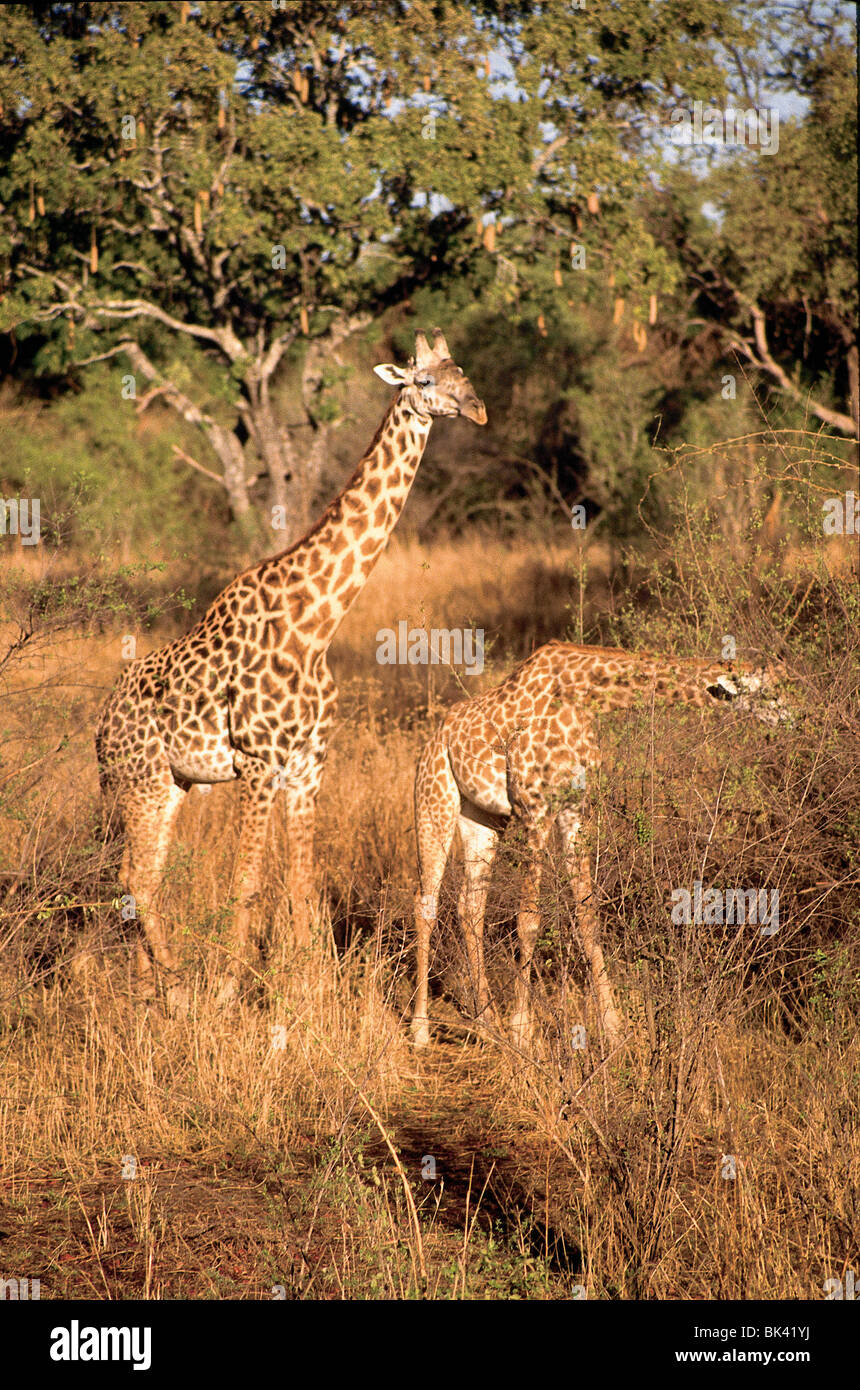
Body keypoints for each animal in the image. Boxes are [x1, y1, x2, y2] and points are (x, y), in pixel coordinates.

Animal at [97, 325, 489, 1000]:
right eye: (424, 380)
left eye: (462, 370)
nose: (477, 408)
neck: (316, 623)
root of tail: (97, 731)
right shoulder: (258, 763)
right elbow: (247, 880)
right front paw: (230, 992)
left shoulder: (308, 763)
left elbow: (304, 882)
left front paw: (313, 991)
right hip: (140, 780)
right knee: (139, 878)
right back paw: (176, 985)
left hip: (171, 784)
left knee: (139, 873)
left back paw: (150, 986)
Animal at [411, 636, 789, 1045]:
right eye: (771, 690)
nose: (797, 716)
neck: (582, 694)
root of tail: (433, 738)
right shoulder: (534, 808)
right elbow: (529, 919)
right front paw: (523, 1030)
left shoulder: (575, 811)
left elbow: (588, 916)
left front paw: (613, 1027)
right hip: (434, 800)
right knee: (427, 903)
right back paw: (421, 1029)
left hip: (482, 817)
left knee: (470, 906)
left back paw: (486, 1022)